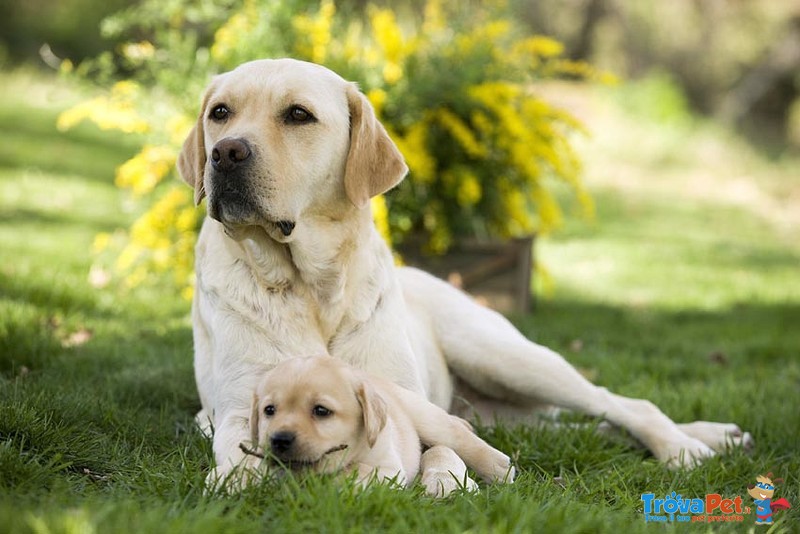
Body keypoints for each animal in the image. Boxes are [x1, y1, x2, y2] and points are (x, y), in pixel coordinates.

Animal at [247, 356, 516, 498]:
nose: (279, 439)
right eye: (269, 410)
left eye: (321, 411)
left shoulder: (388, 468)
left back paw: (500, 468)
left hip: (428, 418)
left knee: (458, 437)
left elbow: (352, 472)